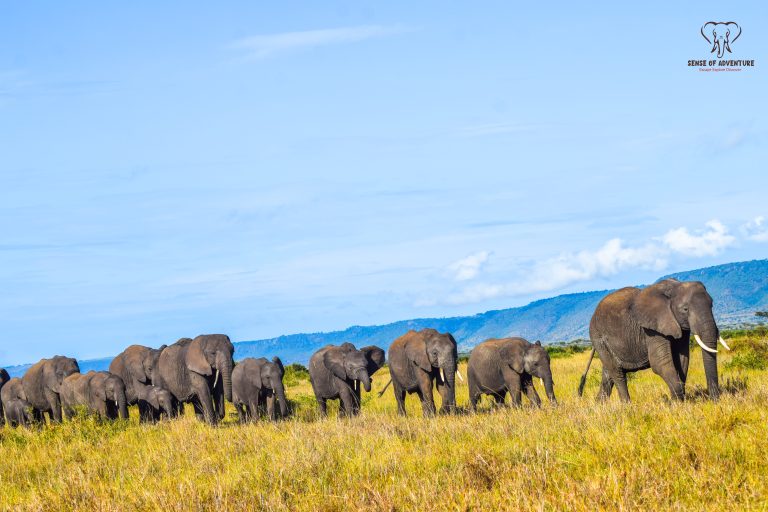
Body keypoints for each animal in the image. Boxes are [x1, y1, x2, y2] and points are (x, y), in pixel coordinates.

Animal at [580, 279, 726, 402]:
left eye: (712, 305)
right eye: (685, 309)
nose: (714, 401)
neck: (674, 287)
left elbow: (682, 359)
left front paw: (679, 401)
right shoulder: (652, 329)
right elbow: (659, 362)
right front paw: (677, 404)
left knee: (608, 375)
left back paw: (599, 406)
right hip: (598, 338)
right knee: (617, 373)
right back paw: (627, 407)